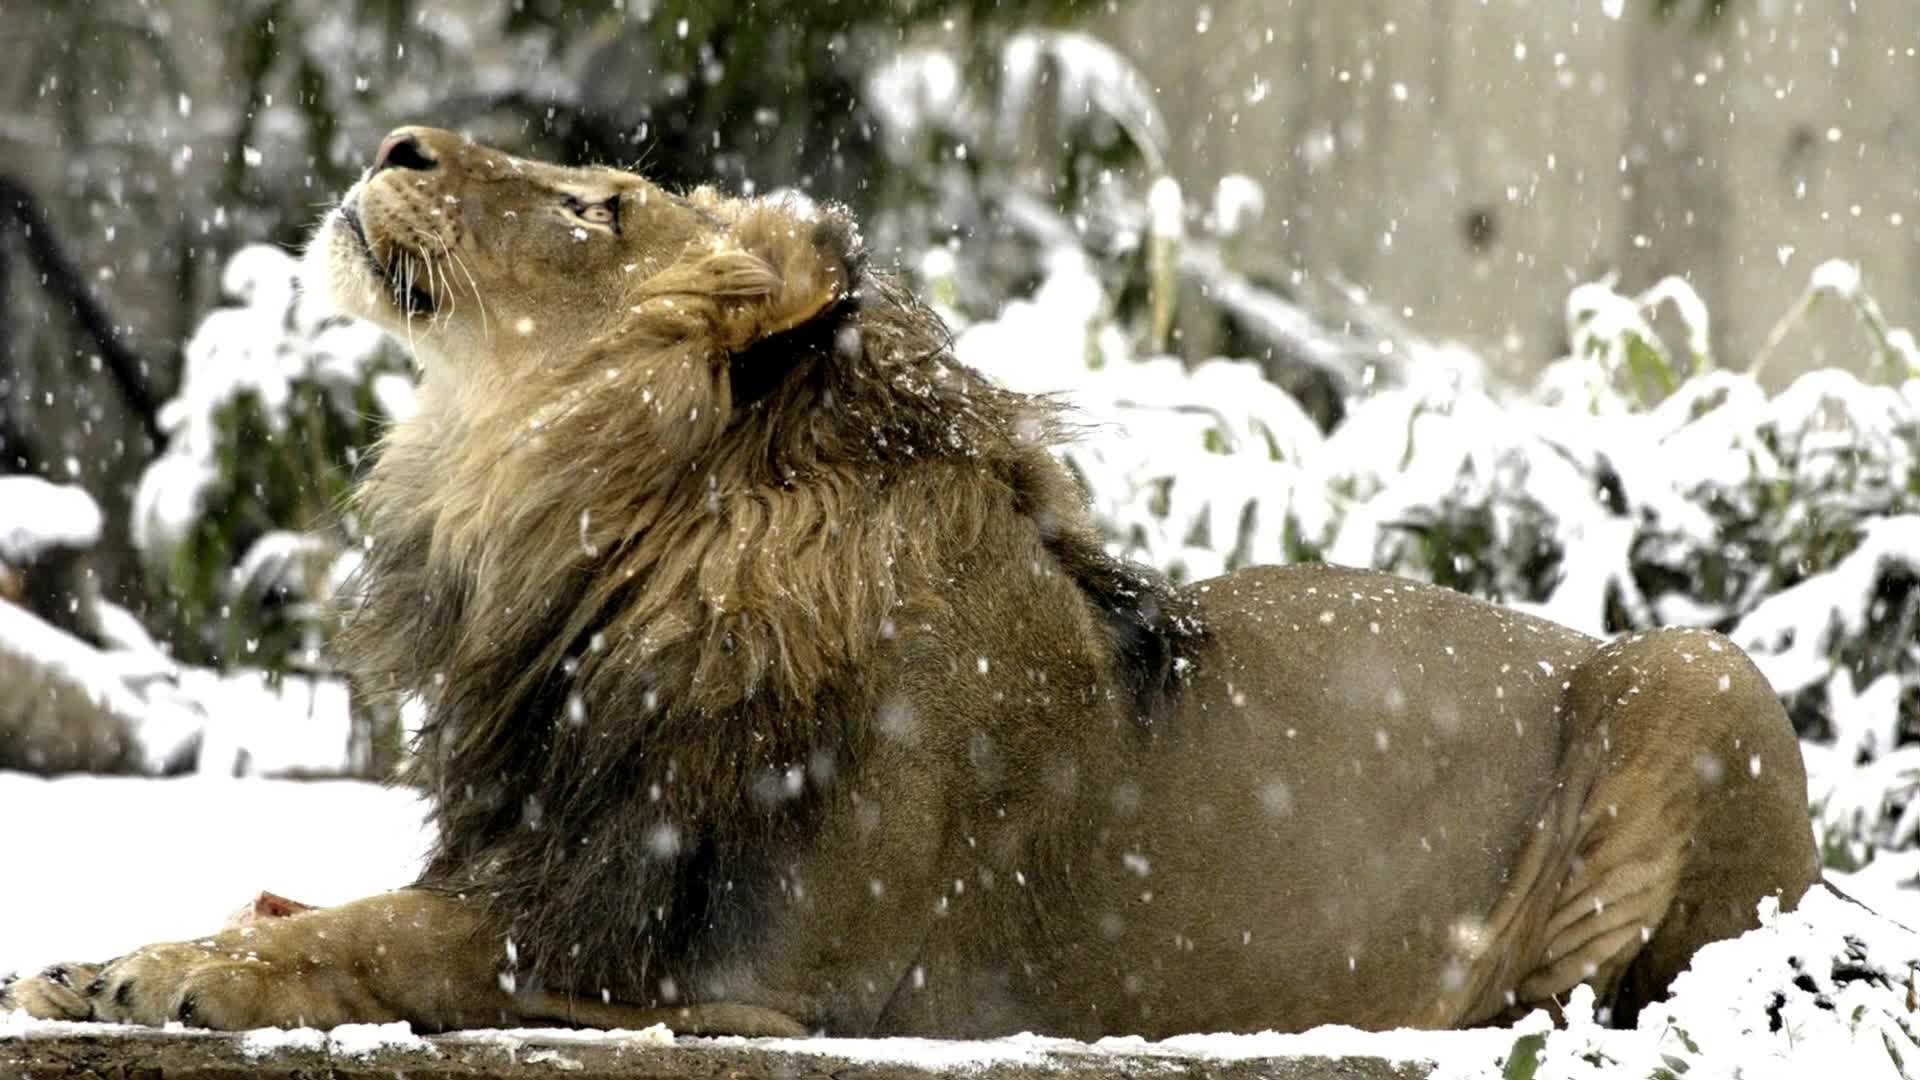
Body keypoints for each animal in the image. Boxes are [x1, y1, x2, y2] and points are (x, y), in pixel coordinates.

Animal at [0, 127, 1820, 1039]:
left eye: (599, 203)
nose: (396, 138)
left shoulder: (720, 974)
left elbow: (363, 942)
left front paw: (139, 973)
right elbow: (311, 905)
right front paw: (106, 957)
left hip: (1695, 669)